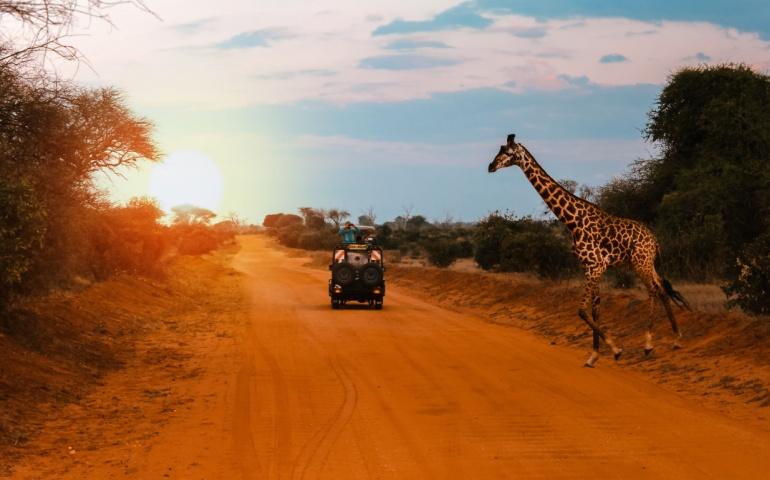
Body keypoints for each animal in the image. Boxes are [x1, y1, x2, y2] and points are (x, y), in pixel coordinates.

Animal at [488, 133, 689, 367]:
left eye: (508, 152)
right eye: (499, 149)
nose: (490, 166)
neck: (572, 221)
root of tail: (654, 240)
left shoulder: (596, 267)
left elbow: (583, 310)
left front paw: (616, 349)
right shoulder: (590, 267)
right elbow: (595, 309)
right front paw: (594, 355)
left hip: (641, 262)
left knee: (654, 290)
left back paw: (650, 344)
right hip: (643, 262)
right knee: (662, 287)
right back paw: (675, 339)